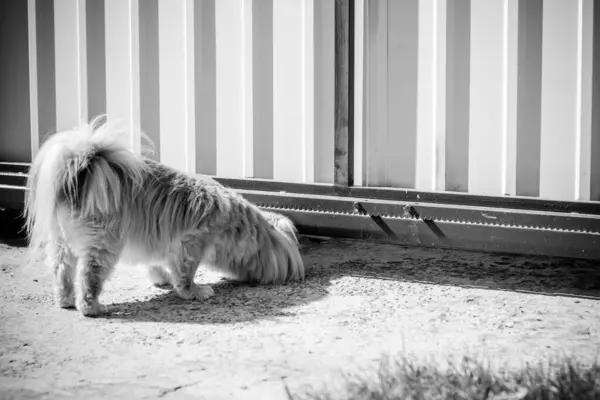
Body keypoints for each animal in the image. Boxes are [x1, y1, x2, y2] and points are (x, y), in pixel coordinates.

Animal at [23, 115, 304, 316]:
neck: (234, 223)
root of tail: (79, 168)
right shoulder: (190, 244)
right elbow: (185, 276)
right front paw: (196, 291)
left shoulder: (157, 241)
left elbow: (156, 265)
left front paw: (162, 280)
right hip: (103, 246)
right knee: (89, 277)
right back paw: (93, 307)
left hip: (61, 244)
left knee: (62, 272)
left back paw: (65, 300)